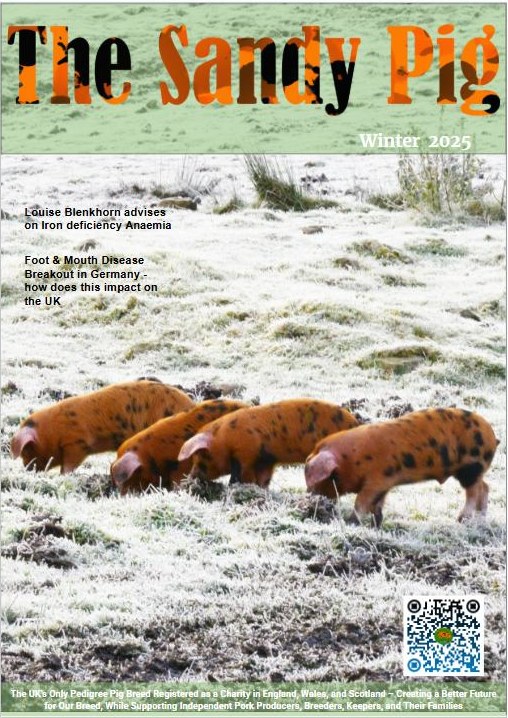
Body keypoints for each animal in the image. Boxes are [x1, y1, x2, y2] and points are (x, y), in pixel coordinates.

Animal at [11, 380, 194, 473]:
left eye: (27, 449)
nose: (27, 469)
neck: (53, 431)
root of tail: (190, 404)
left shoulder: (77, 443)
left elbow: (69, 466)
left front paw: (64, 476)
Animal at [178, 399, 359, 486]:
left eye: (202, 456)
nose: (190, 478)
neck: (223, 439)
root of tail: (356, 424)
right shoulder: (265, 460)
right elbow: (263, 480)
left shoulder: (245, 452)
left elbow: (239, 476)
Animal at [305, 408, 498, 526]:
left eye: (329, 477)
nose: (309, 496)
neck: (352, 459)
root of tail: (492, 436)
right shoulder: (385, 483)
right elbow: (377, 505)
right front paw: (377, 525)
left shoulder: (377, 479)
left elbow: (361, 502)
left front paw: (350, 522)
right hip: (473, 470)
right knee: (485, 487)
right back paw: (481, 518)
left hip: (471, 467)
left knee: (474, 492)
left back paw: (461, 519)